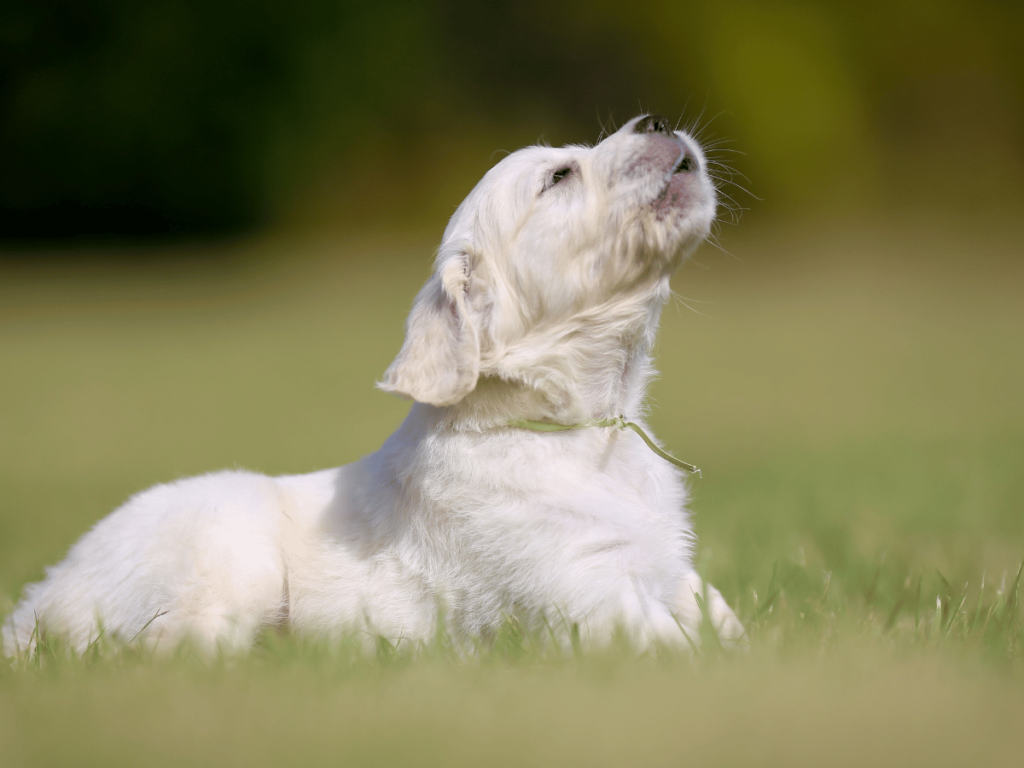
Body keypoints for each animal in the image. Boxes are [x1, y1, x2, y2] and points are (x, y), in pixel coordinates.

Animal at [0, 117, 741, 659]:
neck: (585, 432)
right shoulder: (582, 594)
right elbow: (678, 645)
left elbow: (719, 614)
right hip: (227, 556)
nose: (659, 121)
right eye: (558, 176)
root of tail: (38, 601)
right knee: (165, 647)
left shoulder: (667, 570)